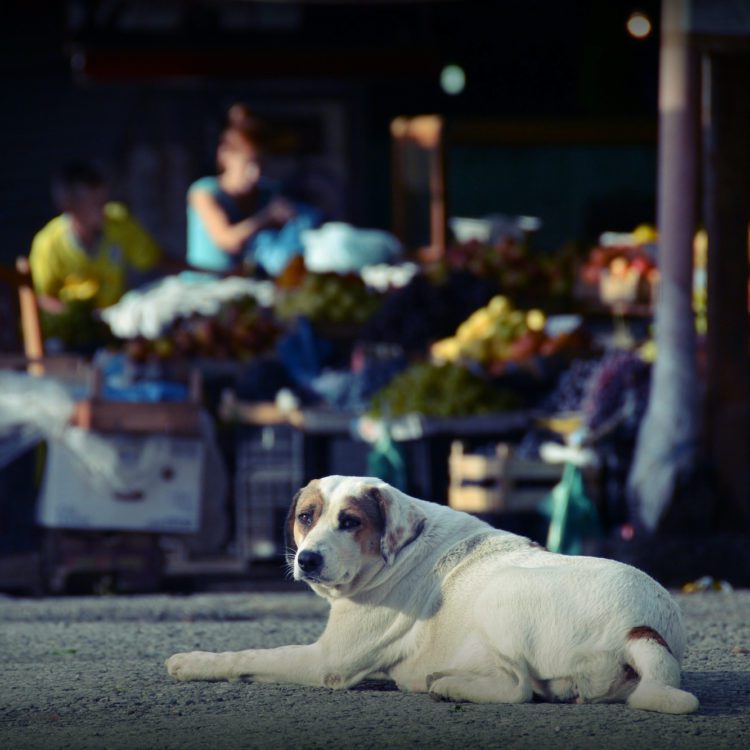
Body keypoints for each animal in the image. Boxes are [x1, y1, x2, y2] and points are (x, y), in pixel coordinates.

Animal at [167, 476, 704, 716]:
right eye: (306, 517)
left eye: (350, 522)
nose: (308, 560)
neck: (398, 551)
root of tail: (643, 629)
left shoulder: (327, 661)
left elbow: (248, 654)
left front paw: (192, 661)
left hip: (500, 596)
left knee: (518, 688)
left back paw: (449, 685)